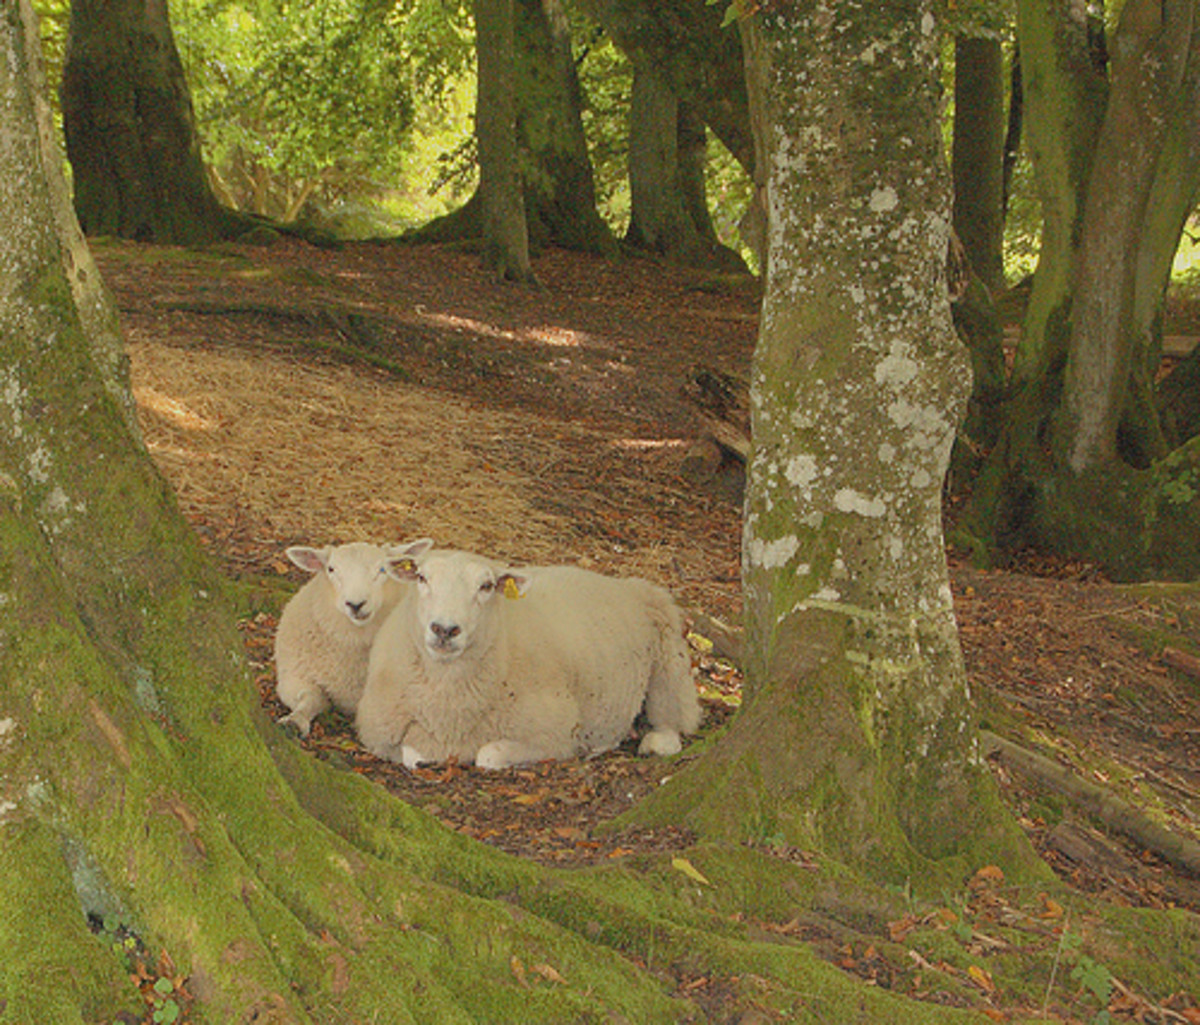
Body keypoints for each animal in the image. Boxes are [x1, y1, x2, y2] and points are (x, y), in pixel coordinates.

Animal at [274, 539, 433, 736]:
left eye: (382, 569)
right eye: (331, 569)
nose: (356, 604)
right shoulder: (294, 677)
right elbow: (312, 698)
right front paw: (295, 720)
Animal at [355, 547, 702, 770]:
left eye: (486, 586)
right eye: (422, 578)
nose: (445, 629)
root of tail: (626, 582)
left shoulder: (557, 731)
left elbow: (488, 755)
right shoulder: (377, 733)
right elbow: (413, 755)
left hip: (669, 659)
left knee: (675, 721)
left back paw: (648, 741)